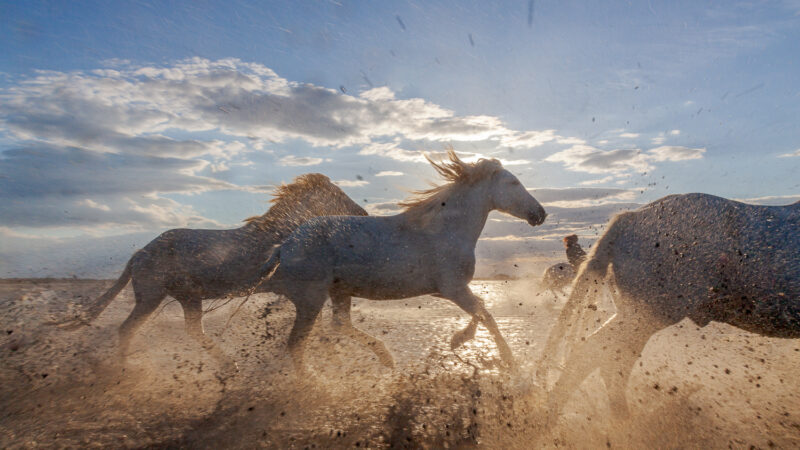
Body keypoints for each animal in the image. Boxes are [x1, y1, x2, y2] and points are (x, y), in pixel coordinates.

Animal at [51, 173, 370, 370]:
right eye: (338, 194)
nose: (363, 214)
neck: (281, 234)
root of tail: (140, 253)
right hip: (152, 297)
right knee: (128, 328)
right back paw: (125, 370)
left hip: (186, 296)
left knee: (191, 329)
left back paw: (229, 365)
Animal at [252, 151, 552, 372]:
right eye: (513, 183)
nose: (540, 213)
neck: (444, 230)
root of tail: (285, 246)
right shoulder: (454, 289)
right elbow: (485, 314)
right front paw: (507, 359)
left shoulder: (443, 291)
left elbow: (481, 308)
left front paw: (458, 340)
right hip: (311, 299)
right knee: (296, 344)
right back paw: (318, 388)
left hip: (339, 292)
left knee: (339, 325)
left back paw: (386, 358)